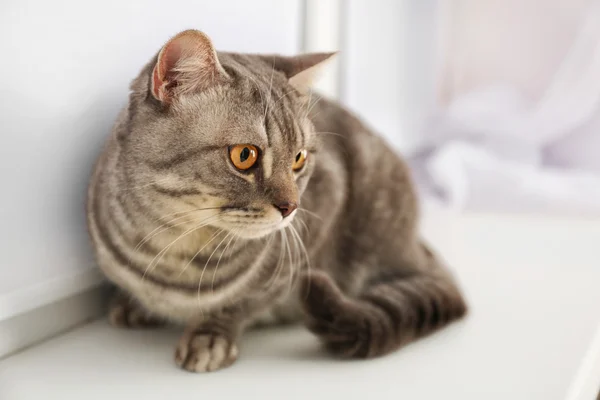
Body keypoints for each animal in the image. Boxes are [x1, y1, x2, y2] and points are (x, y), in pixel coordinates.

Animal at [86, 29, 466, 374]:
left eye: (299, 159)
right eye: (244, 155)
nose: (291, 208)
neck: (173, 250)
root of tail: (414, 245)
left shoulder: (303, 247)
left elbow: (237, 304)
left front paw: (209, 336)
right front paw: (133, 304)